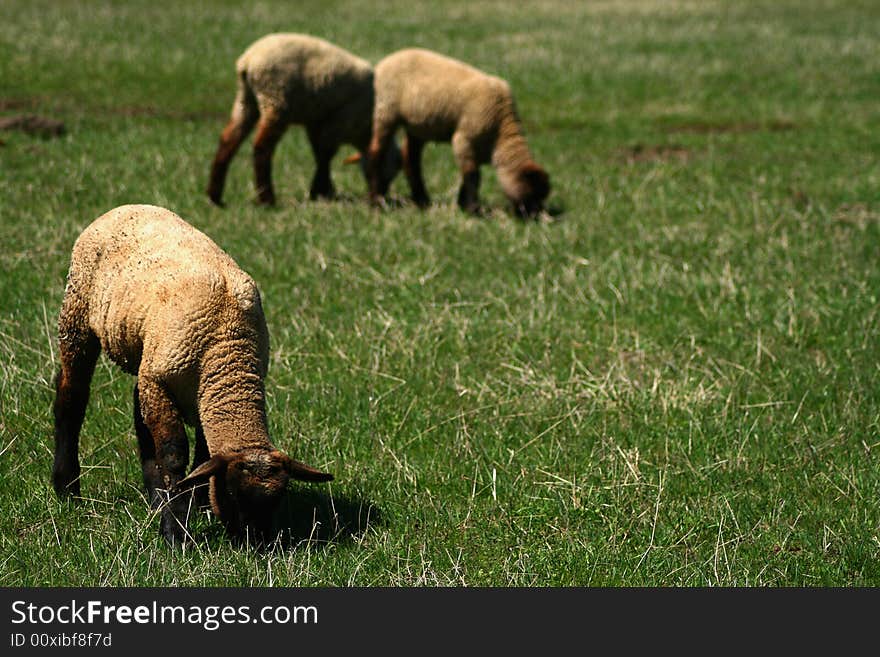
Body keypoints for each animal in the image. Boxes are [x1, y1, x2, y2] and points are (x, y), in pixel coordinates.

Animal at [52, 202, 334, 544]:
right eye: (233, 493)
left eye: (278, 499)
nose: (258, 544)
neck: (227, 348)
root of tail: (125, 207)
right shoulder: (163, 382)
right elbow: (174, 454)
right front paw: (175, 530)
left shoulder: (201, 395)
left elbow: (202, 457)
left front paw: (196, 505)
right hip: (77, 315)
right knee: (72, 397)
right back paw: (67, 488)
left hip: (146, 358)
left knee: (139, 415)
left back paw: (154, 497)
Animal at [206, 32, 402, 205]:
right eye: (390, 168)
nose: (383, 192)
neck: (365, 132)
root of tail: (248, 61)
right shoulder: (340, 121)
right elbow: (326, 155)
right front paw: (320, 190)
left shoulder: (316, 123)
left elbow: (319, 153)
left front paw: (325, 191)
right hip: (276, 99)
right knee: (262, 147)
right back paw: (267, 199)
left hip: (246, 101)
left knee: (228, 140)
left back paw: (215, 197)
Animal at [364, 49, 552, 218]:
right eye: (532, 194)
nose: (535, 216)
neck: (500, 131)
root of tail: (384, 62)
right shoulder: (464, 139)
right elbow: (472, 176)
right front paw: (473, 210)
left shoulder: (474, 150)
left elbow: (468, 176)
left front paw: (464, 204)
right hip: (385, 111)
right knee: (376, 152)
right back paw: (375, 200)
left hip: (416, 125)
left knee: (411, 159)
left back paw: (422, 200)